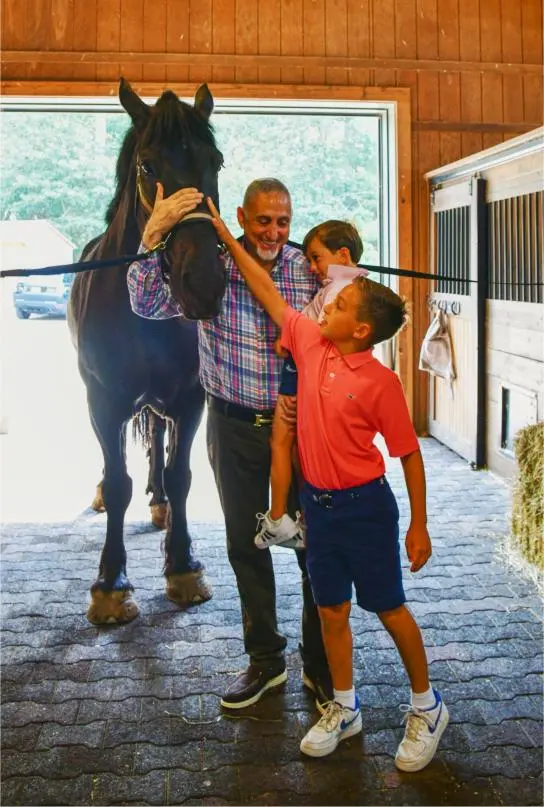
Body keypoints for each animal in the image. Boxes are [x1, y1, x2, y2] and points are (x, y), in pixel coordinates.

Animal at [68, 80, 225, 624]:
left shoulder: (190, 398)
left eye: (216, 162)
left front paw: (183, 567)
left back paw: (158, 504)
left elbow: (180, 476)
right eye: (148, 167)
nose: (202, 283)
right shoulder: (103, 401)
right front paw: (110, 585)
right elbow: (119, 483)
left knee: (157, 437)